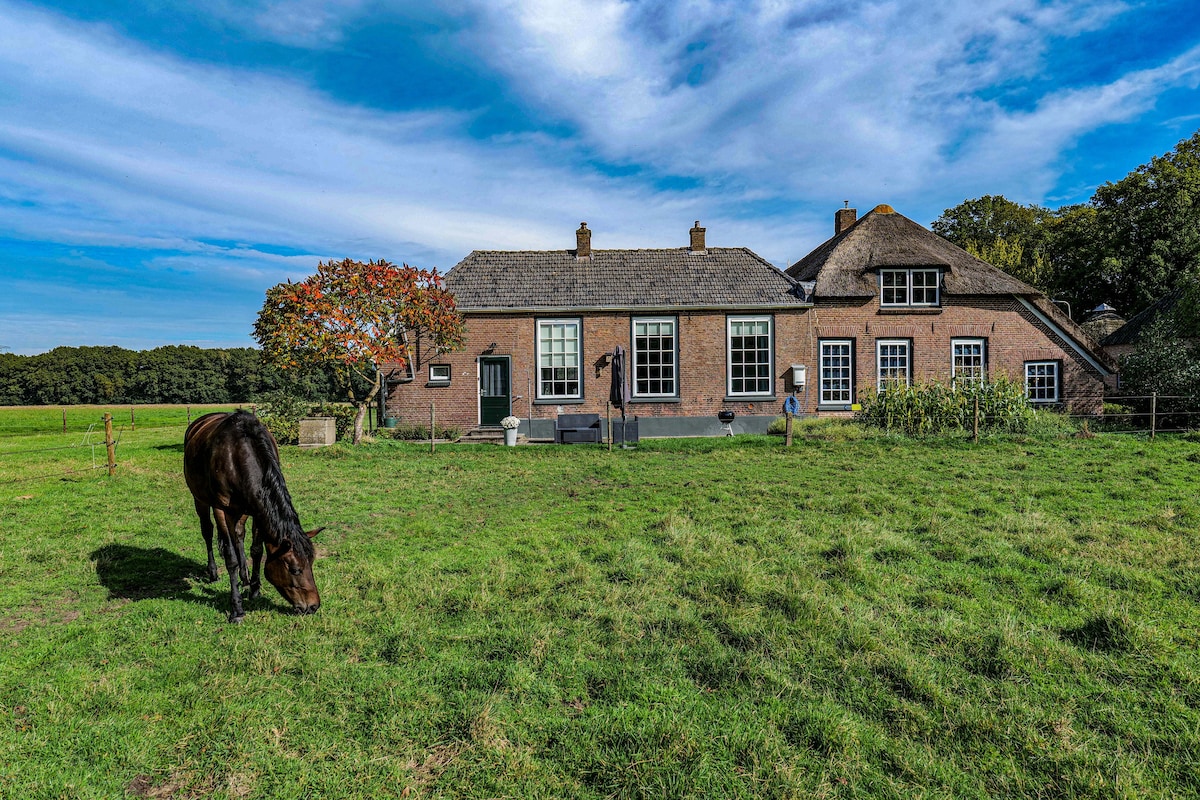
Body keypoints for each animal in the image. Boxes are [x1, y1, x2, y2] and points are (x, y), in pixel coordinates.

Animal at [183, 410, 324, 623]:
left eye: (312, 562)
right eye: (295, 569)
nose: (313, 606)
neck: (237, 455)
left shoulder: (259, 509)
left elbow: (256, 550)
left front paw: (255, 589)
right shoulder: (222, 510)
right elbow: (230, 558)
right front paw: (237, 609)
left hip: (242, 509)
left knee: (238, 534)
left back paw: (245, 576)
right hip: (200, 499)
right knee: (208, 531)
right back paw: (214, 572)